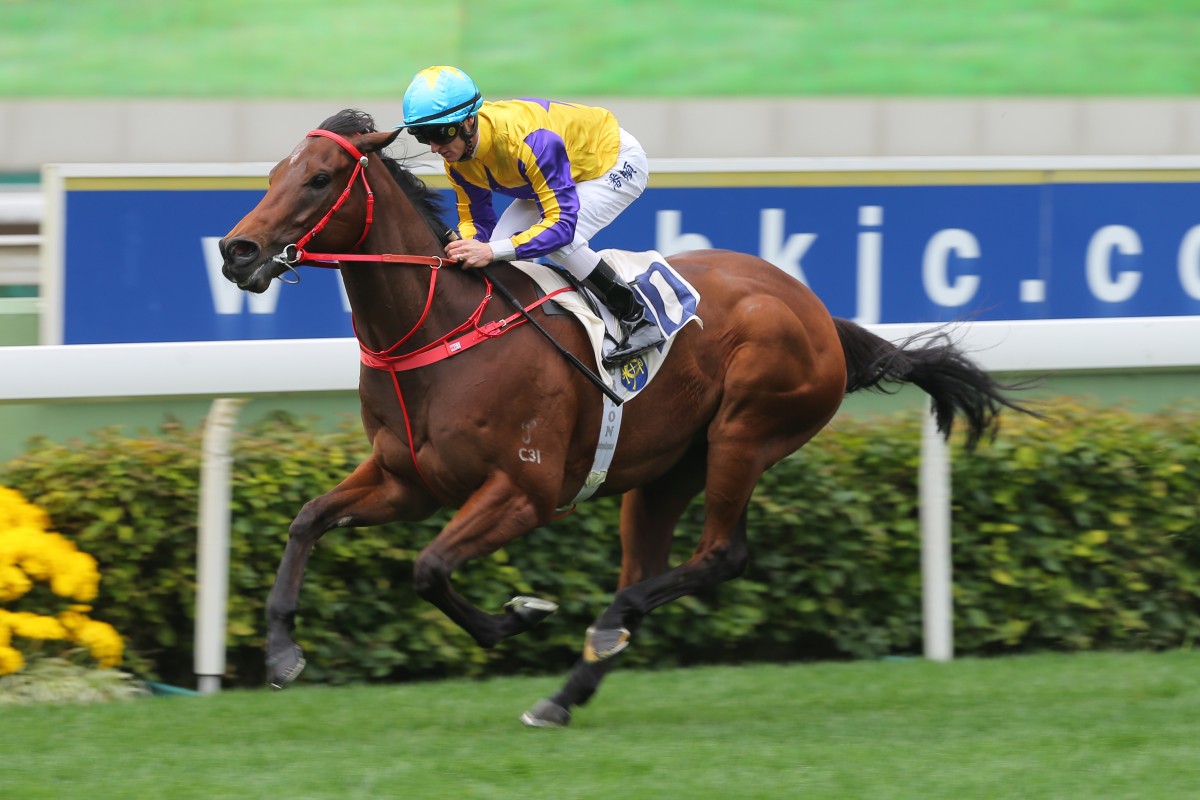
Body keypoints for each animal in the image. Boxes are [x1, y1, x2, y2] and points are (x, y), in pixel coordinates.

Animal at [218, 109, 1032, 729]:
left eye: (320, 178)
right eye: (272, 175)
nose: (236, 250)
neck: (439, 329)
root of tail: (814, 310)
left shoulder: (523, 492)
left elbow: (429, 568)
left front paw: (521, 613)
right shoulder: (405, 480)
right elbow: (308, 520)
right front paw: (283, 651)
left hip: (745, 433)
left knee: (720, 555)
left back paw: (604, 626)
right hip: (663, 472)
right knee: (653, 568)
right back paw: (566, 691)